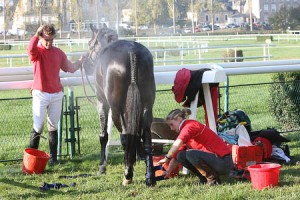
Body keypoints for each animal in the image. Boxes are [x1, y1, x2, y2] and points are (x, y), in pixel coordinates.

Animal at [82, 24, 157, 186]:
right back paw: (150, 176)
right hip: (147, 107)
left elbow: (104, 135)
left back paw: (127, 175)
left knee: (125, 135)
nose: (85, 63)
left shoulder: (102, 103)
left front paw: (102, 167)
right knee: (146, 136)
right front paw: (138, 157)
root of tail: (132, 53)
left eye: (90, 44)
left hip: (116, 109)